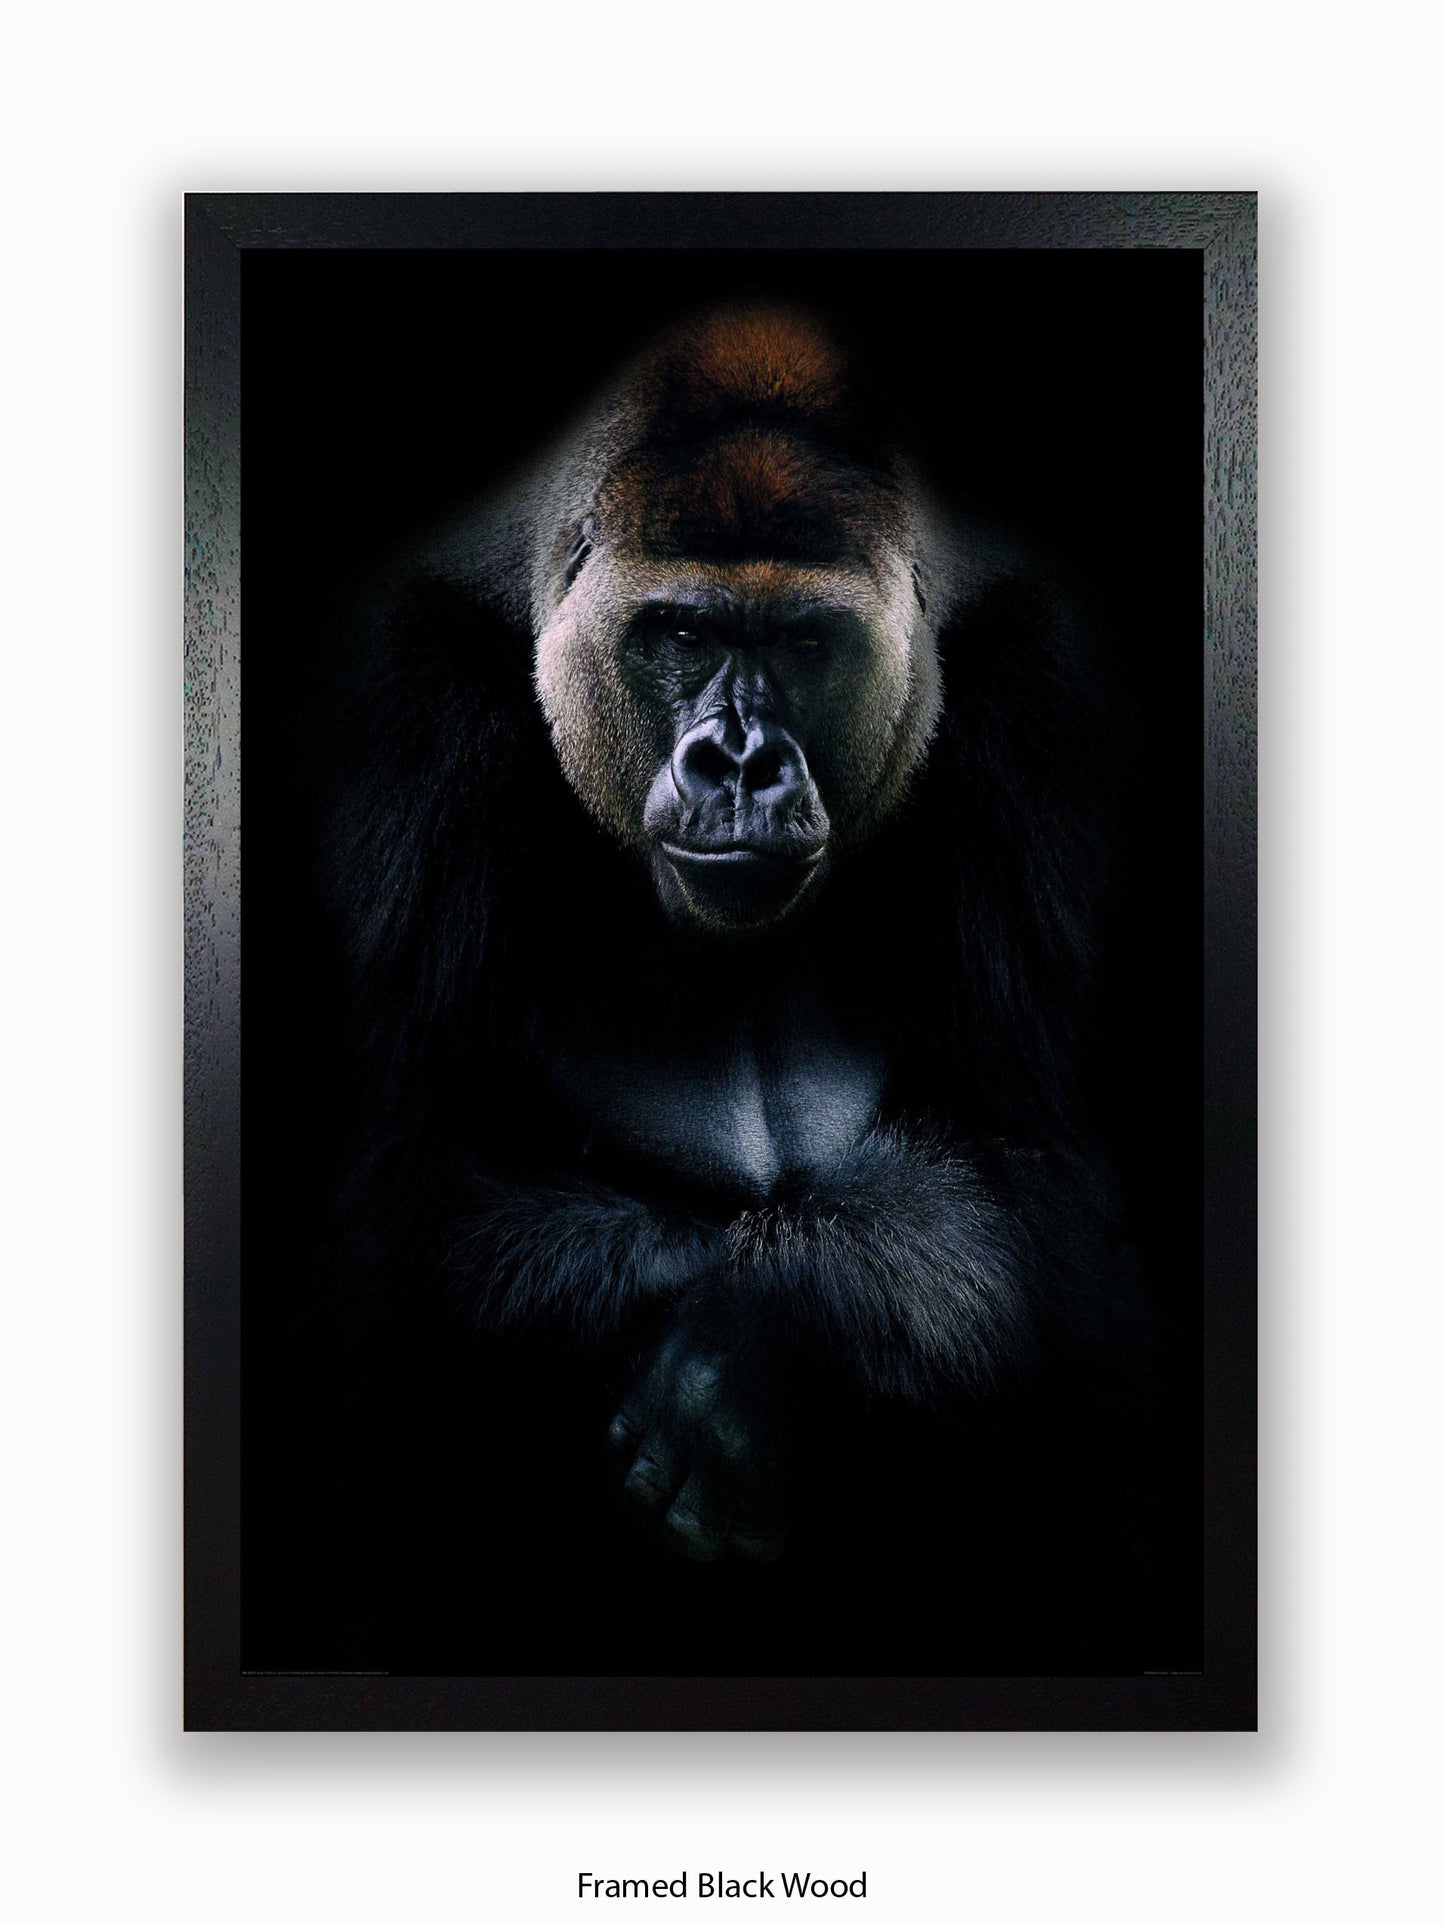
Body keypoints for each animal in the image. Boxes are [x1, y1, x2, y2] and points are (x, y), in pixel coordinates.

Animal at [311, 304, 1159, 1671]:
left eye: (804, 643)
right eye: (683, 634)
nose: (742, 762)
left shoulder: (1047, 683)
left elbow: (1041, 1183)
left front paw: (771, 1341)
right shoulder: (395, 695)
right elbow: (400, 1211)